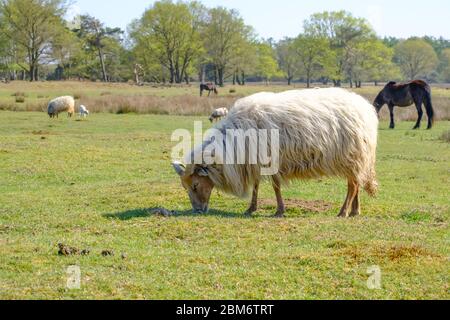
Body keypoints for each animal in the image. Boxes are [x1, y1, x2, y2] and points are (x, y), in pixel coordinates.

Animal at [174, 87, 378, 218]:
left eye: (195, 185)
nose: (197, 211)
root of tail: (366, 109)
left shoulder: (269, 159)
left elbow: (275, 186)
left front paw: (279, 210)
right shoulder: (255, 161)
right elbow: (256, 185)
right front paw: (251, 208)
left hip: (351, 155)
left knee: (353, 186)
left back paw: (343, 212)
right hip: (357, 158)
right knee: (357, 182)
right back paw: (355, 211)